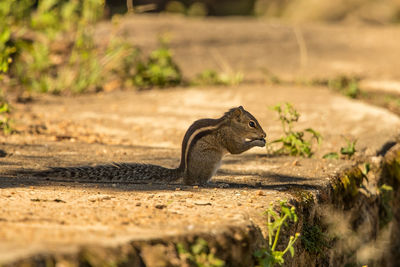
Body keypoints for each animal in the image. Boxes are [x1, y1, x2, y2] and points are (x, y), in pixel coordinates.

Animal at [27, 105, 266, 185]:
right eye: (251, 123)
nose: (264, 134)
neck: (229, 124)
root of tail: (183, 170)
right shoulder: (228, 139)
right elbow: (237, 149)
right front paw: (258, 142)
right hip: (210, 160)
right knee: (193, 182)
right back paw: (216, 183)